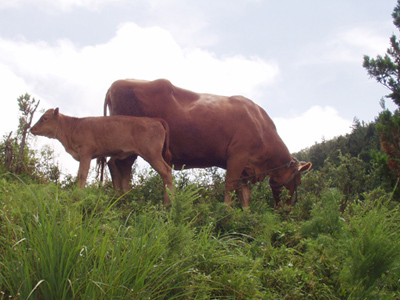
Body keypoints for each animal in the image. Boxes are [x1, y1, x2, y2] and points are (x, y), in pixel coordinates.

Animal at [30, 106, 174, 205]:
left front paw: (79, 195)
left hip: (152, 154)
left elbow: (82, 175)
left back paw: (169, 203)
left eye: (45, 118)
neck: (72, 127)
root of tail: (155, 120)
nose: (32, 129)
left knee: (166, 171)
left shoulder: (86, 153)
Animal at [103, 78, 312, 207]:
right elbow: (230, 186)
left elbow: (245, 194)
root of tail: (115, 85)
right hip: (132, 144)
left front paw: (245, 215)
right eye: (298, 181)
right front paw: (227, 212)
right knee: (117, 165)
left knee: (118, 166)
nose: (286, 209)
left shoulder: (245, 167)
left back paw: (123, 199)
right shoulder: (237, 156)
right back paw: (122, 199)